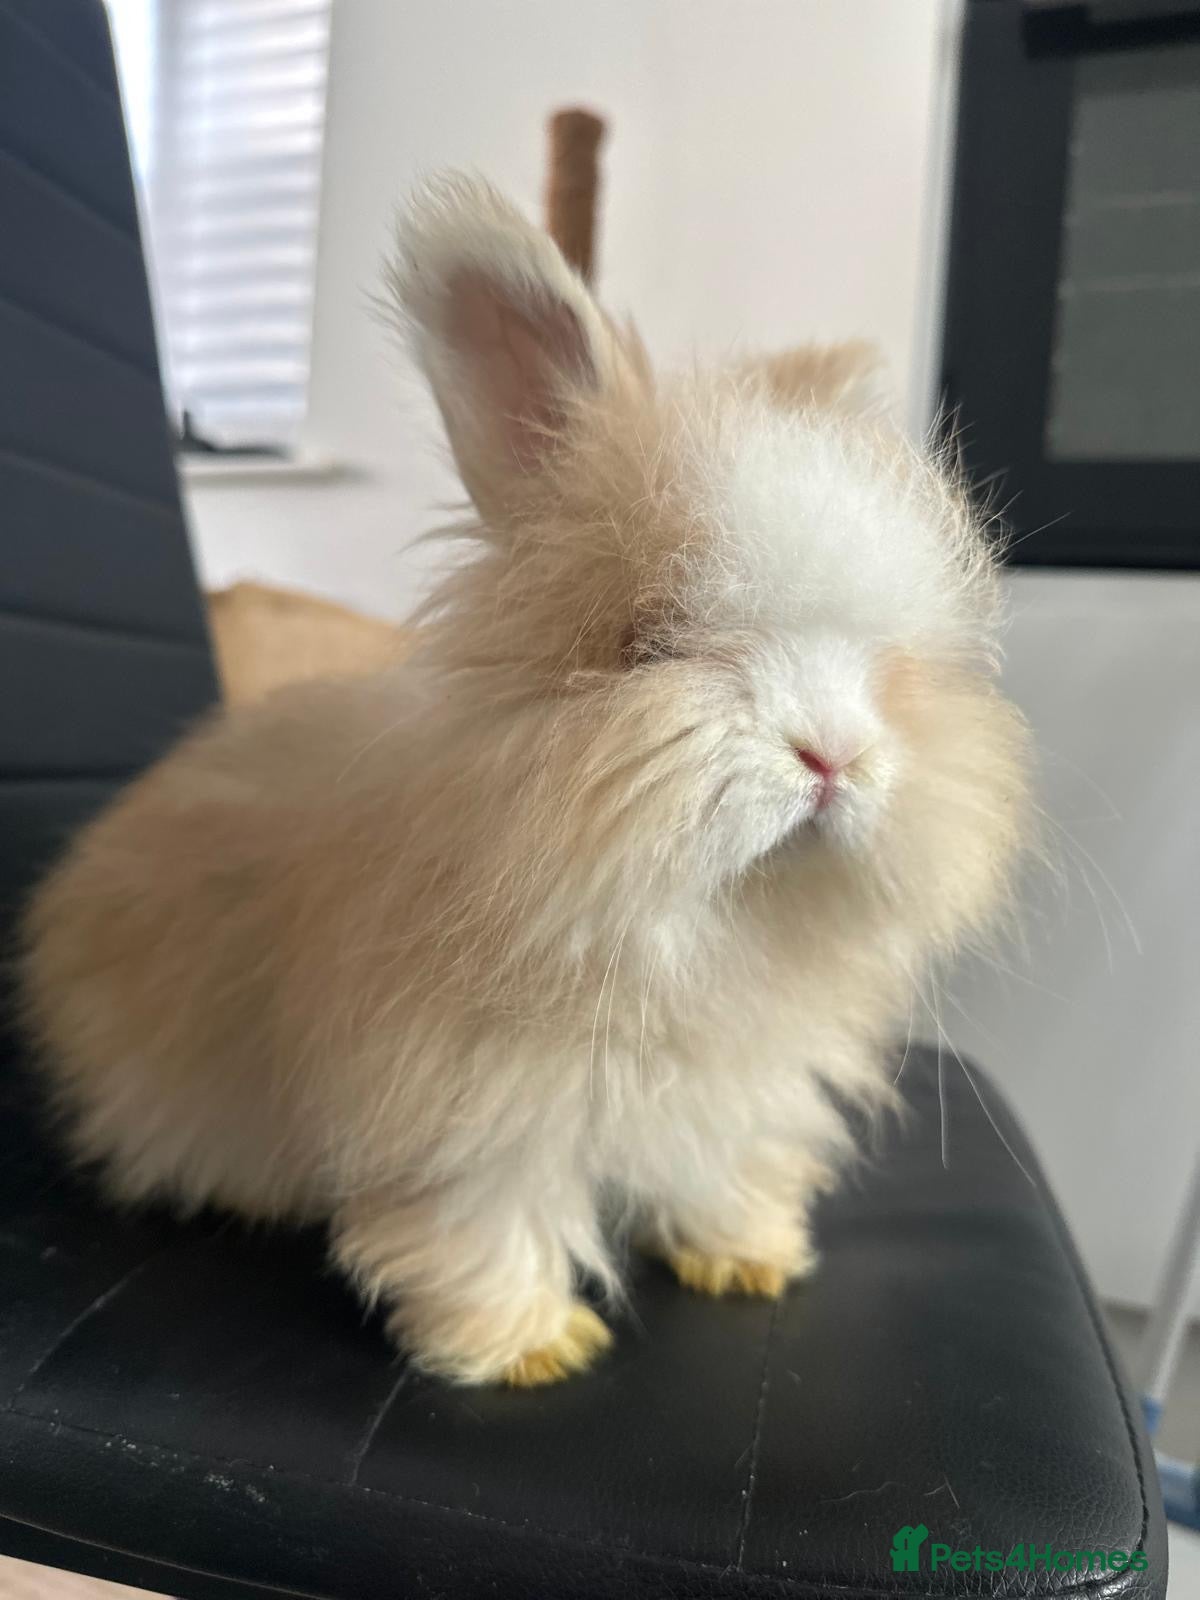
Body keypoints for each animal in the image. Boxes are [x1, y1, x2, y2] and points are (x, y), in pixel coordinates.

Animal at [20, 174, 1030, 1387]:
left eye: (887, 665)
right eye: (653, 642)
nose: (833, 754)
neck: (699, 933)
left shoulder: (736, 1093)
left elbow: (722, 1169)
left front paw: (751, 1260)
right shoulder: (463, 1111)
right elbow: (487, 1215)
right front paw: (531, 1348)